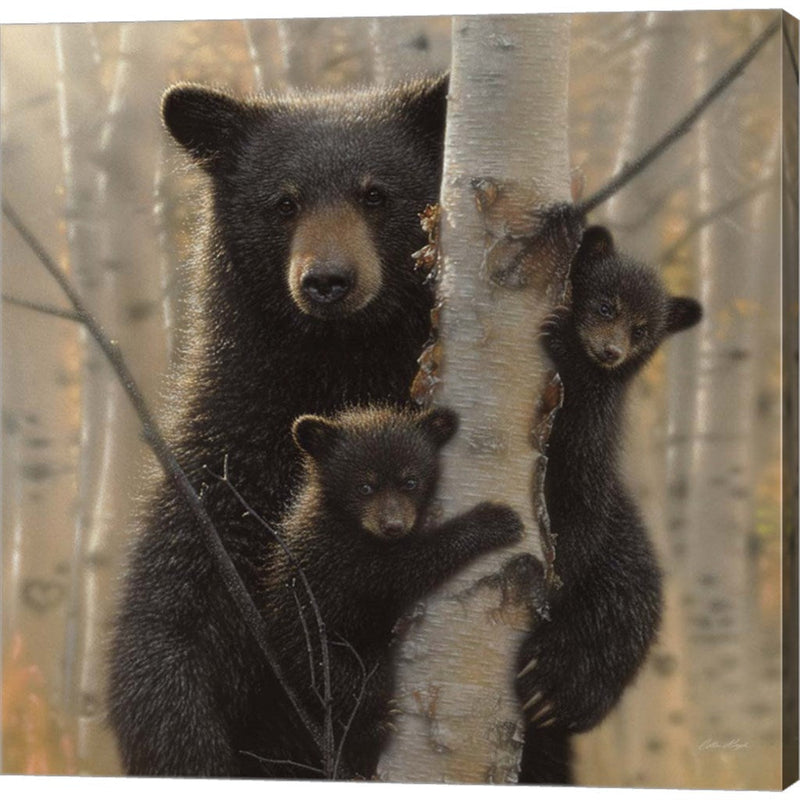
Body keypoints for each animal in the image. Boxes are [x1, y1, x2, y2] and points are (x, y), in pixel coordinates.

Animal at [107, 76, 449, 777]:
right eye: (283, 203)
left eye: (376, 194)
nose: (328, 281)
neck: (338, 369)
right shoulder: (226, 467)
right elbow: (167, 625)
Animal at [253, 405, 524, 779]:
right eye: (365, 486)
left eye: (410, 481)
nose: (393, 525)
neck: (346, 520)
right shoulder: (341, 556)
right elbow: (402, 570)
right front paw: (494, 520)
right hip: (319, 653)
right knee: (354, 685)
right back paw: (374, 727)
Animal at [516, 225, 703, 785]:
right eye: (604, 305)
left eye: (642, 329)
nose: (611, 351)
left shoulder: (588, 450)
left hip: (627, 579)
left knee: (617, 621)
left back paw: (552, 688)